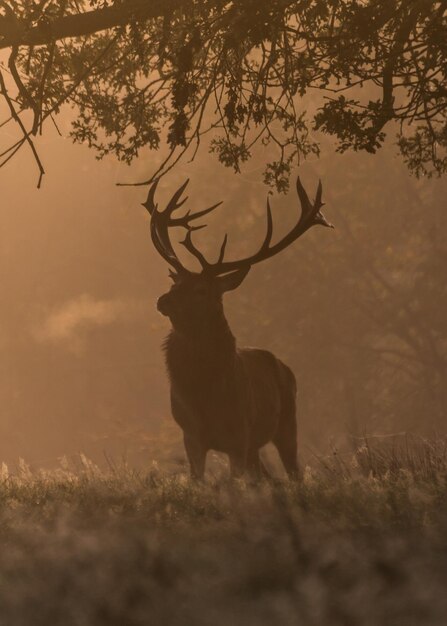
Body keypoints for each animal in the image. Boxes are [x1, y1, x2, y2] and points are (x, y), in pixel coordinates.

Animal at [144, 176, 332, 478]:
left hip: (287, 423)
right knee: (269, 478)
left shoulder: (239, 435)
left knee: (293, 474)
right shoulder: (191, 436)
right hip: (256, 446)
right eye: (175, 283)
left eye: (201, 290)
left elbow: (235, 483)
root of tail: (285, 366)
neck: (205, 396)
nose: (163, 300)